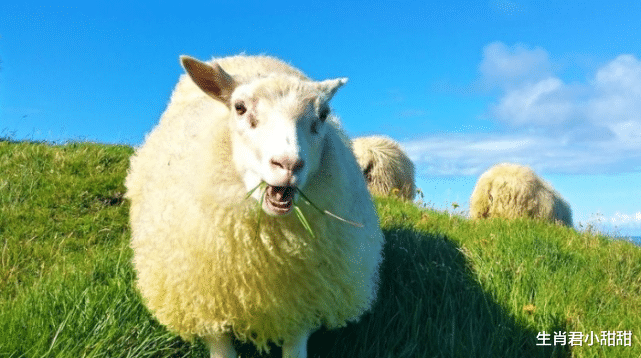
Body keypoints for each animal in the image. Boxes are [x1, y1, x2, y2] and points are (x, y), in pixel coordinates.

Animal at [126, 53, 384, 358]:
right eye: (240, 107)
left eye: (322, 115)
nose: (288, 165)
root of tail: (249, 55)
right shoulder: (205, 298)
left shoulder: (302, 298)